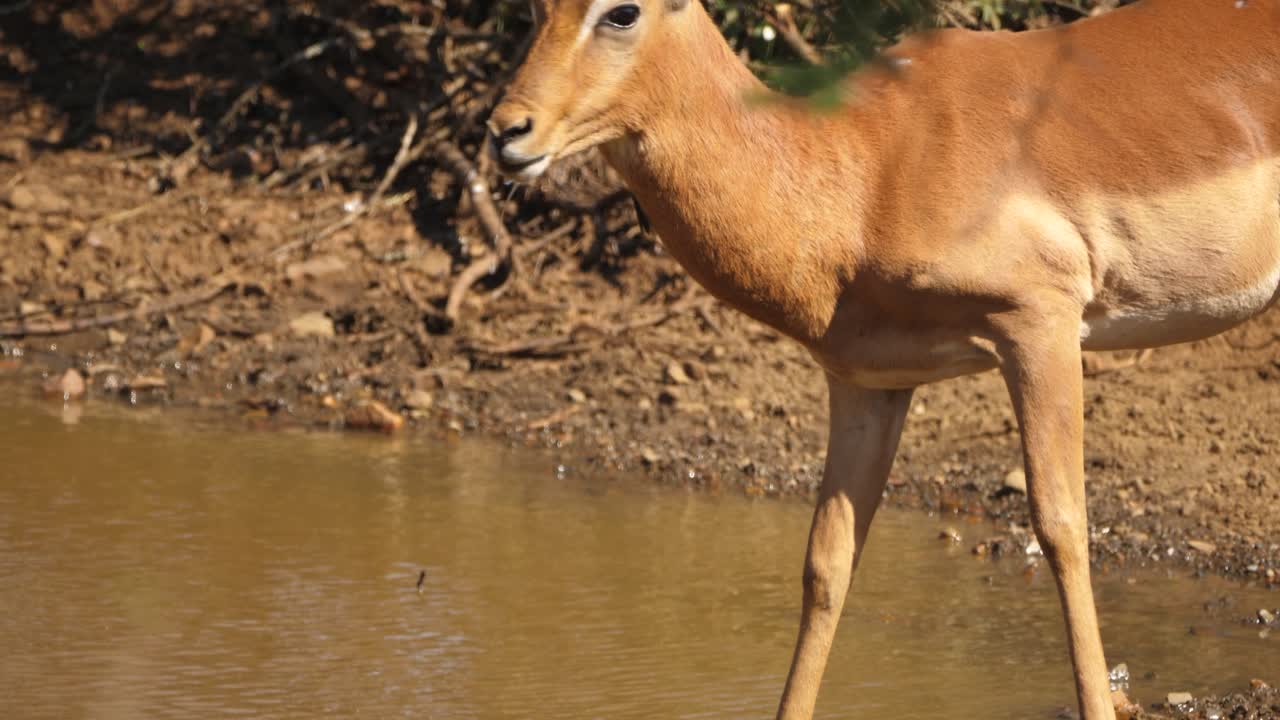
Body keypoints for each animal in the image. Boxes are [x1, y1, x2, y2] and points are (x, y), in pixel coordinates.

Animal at [487, 0, 1280, 717]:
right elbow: (827, 562)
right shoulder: (866, 381)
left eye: (622, 12)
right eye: (537, 7)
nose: (505, 131)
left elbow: (1062, 529)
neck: (868, 168)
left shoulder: (1039, 324)